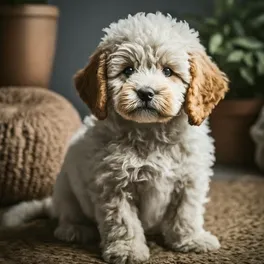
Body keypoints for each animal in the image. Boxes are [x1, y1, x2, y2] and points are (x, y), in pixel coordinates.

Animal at [1, 12, 229, 264]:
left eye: (168, 71)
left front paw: (191, 240)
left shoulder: (189, 179)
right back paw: (75, 230)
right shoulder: (114, 184)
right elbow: (124, 222)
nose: (146, 93)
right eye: (128, 70)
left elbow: (186, 212)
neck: (151, 133)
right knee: (68, 213)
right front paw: (128, 250)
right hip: (66, 188)